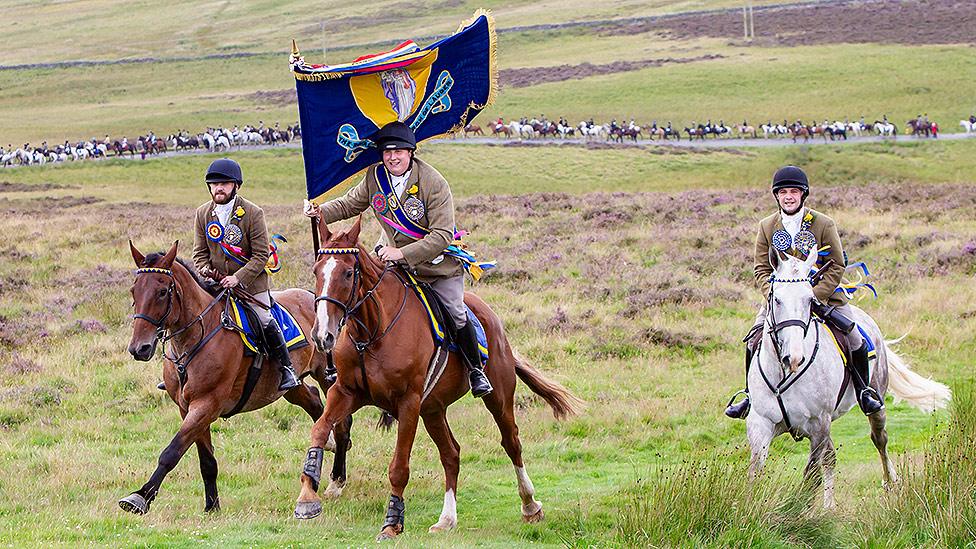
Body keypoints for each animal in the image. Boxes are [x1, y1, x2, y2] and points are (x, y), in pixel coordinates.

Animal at [118, 242, 354, 516]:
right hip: (288, 387)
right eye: (134, 291)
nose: (139, 348)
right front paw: (212, 505)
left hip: (328, 377)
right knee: (315, 404)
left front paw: (140, 496)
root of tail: (313, 297)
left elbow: (172, 451)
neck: (196, 336)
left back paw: (337, 480)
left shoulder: (206, 404)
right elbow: (206, 461)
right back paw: (327, 447)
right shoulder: (188, 408)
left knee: (341, 422)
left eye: (163, 291)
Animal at [292, 218, 580, 540]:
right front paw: (307, 497)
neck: (372, 333)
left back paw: (530, 505)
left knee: (511, 443)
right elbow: (319, 430)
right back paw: (447, 518)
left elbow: (399, 467)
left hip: (498, 397)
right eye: (317, 270)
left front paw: (392, 523)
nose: (322, 335)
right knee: (451, 454)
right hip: (433, 410)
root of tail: (491, 317)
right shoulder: (346, 393)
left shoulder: (408, 403)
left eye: (348, 272)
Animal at [748, 250, 952, 508]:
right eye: (777, 300)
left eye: (810, 300)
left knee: (879, 439)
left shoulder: (818, 425)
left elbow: (810, 476)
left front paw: (796, 510)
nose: (793, 358)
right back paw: (829, 506)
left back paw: (889, 482)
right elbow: (756, 471)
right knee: (831, 457)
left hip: (875, 401)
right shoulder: (760, 424)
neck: (785, 376)